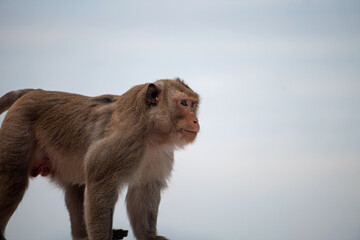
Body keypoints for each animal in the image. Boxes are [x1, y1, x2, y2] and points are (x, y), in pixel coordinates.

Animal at [0, 78, 200, 239]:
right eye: (183, 103)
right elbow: (100, 186)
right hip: (17, 128)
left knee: (76, 188)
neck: (151, 130)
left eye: (193, 105)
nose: (196, 121)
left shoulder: (159, 155)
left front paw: (149, 236)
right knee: (14, 179)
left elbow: (143, 190)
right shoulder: (124, 144)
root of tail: (34, 92)